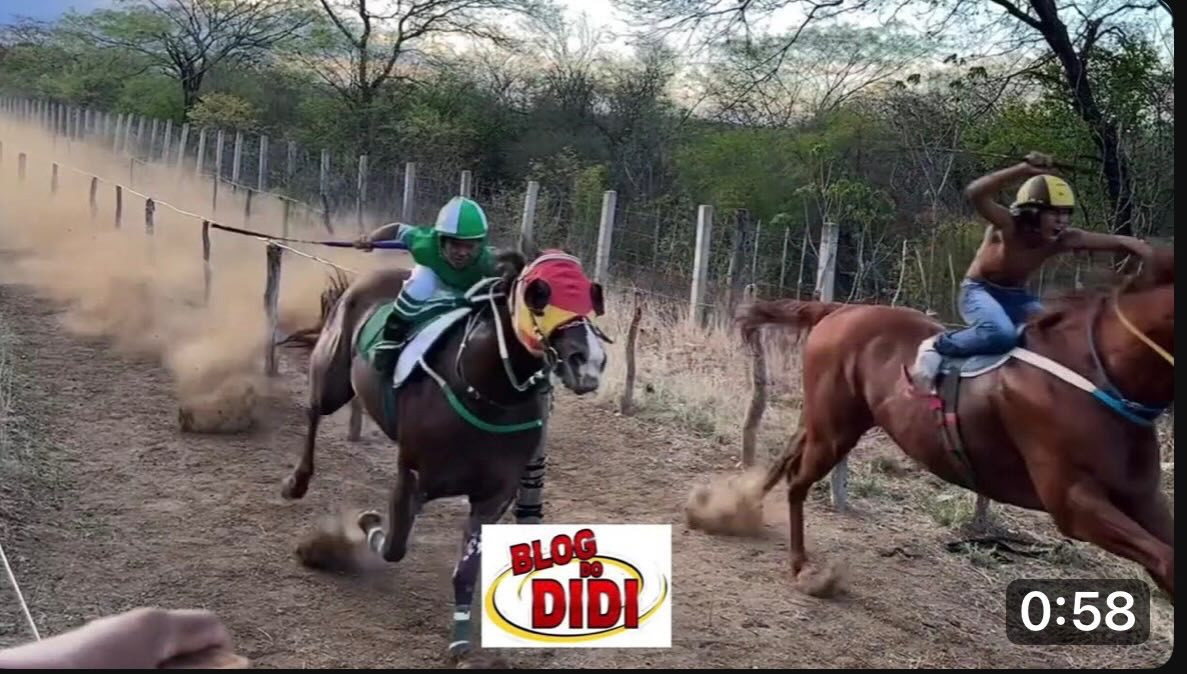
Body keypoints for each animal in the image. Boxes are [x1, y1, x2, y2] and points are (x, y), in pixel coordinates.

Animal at [277, 241, 611, 662]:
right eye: (540, 295)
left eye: (590, 296)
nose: (590, 360)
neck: (487, 391)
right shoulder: (413, 475)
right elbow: (393, 546)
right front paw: (367, 525)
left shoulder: (493, 495)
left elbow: (466, 569)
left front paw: (461, 640)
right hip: (333, 379)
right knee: (313, 411)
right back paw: (296, 482)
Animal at [703, 247, 1174, 599]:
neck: (1098, 374)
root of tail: (837, 310)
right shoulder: (1073, 503)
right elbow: (1166, 561)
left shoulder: (1144, 498)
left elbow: (1165, 558)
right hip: (835, 430)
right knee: (798, 481)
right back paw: (802, 568)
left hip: (828, 420)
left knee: (788, 455)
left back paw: (735, 509)